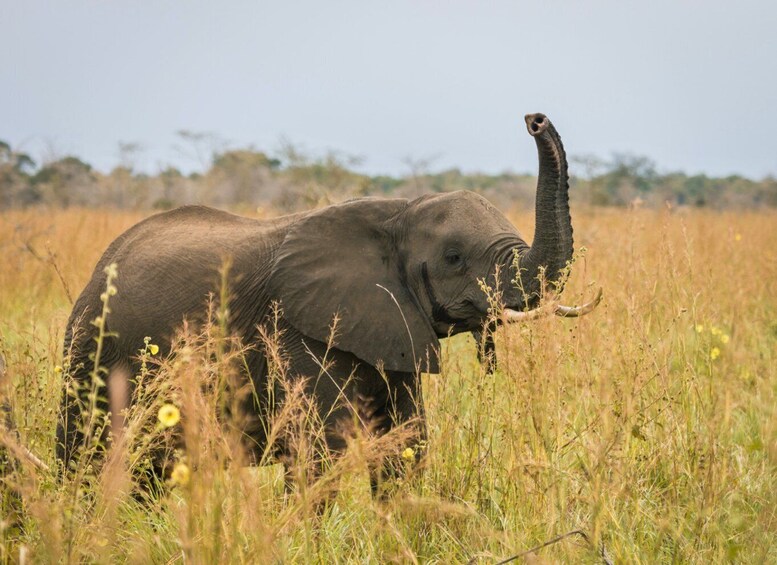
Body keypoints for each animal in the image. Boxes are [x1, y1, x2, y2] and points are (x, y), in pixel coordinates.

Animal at [56, 113, 600, 493]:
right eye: (453, 257)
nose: (534, 119)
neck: (396, 213)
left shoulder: (391, 326)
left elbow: (408, 445)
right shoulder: (302, 333)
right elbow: (318, 454)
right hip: (89, 352)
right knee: (83, 456)